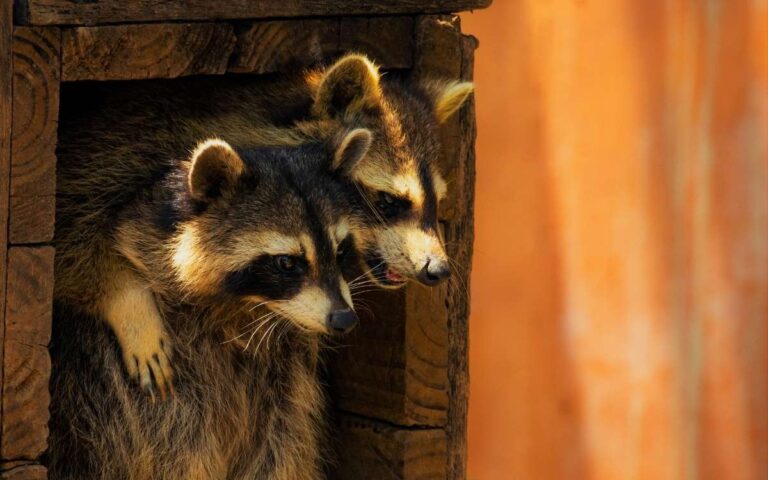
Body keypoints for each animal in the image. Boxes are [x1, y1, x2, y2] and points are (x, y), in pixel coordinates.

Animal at [49, 85, 370, 476]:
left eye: (340, 251)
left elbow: (280, 443)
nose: (344, 319)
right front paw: (128, 304)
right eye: (286, 263)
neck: (240, 310)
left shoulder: (282, 373)